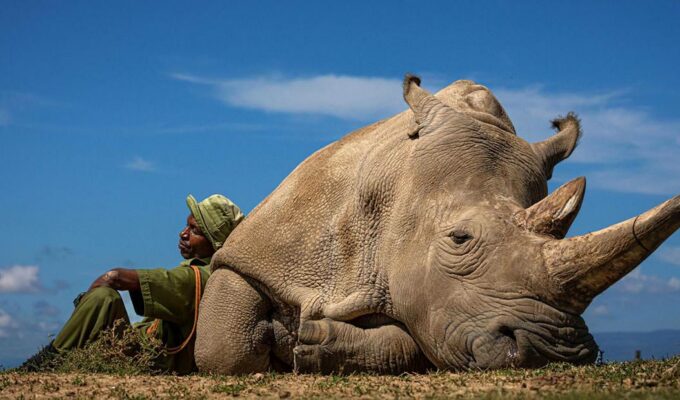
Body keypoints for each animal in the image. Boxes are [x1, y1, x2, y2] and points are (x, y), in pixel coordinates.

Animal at [195, 75, 680, 374]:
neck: (394, 189)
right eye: (459, 239)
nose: (555, 351)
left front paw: (310, 343)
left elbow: (414, 341)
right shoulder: (262, 249)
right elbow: (225, 347)